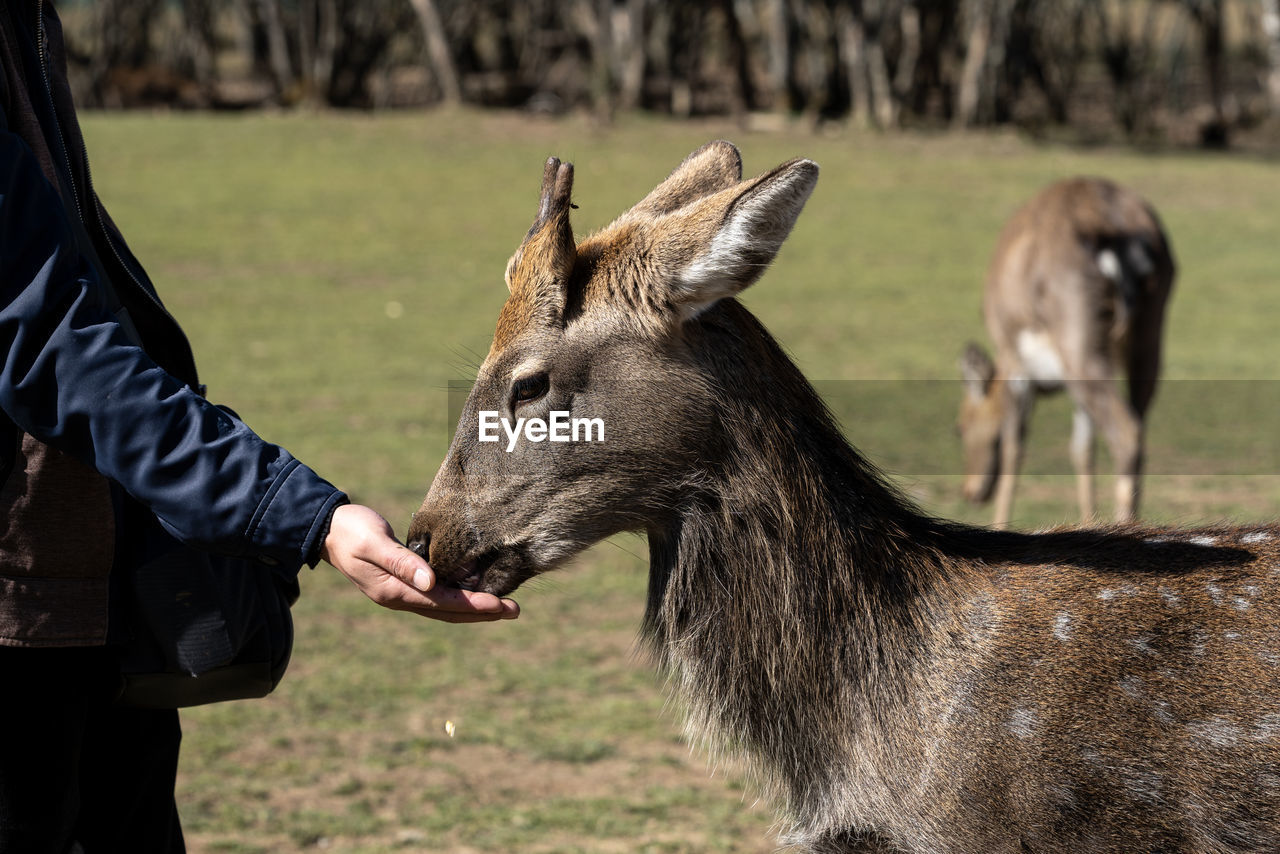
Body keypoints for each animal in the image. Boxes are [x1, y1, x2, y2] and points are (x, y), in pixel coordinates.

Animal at [958, 177, 1176, 530]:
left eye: (960, 426)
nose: (970, 492)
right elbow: (1082, 448)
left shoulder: (1015, 359)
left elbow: (1015, 444)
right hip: (1150, 334)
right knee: (1137, 422)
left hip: (1078, 335)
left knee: (1125, 431)